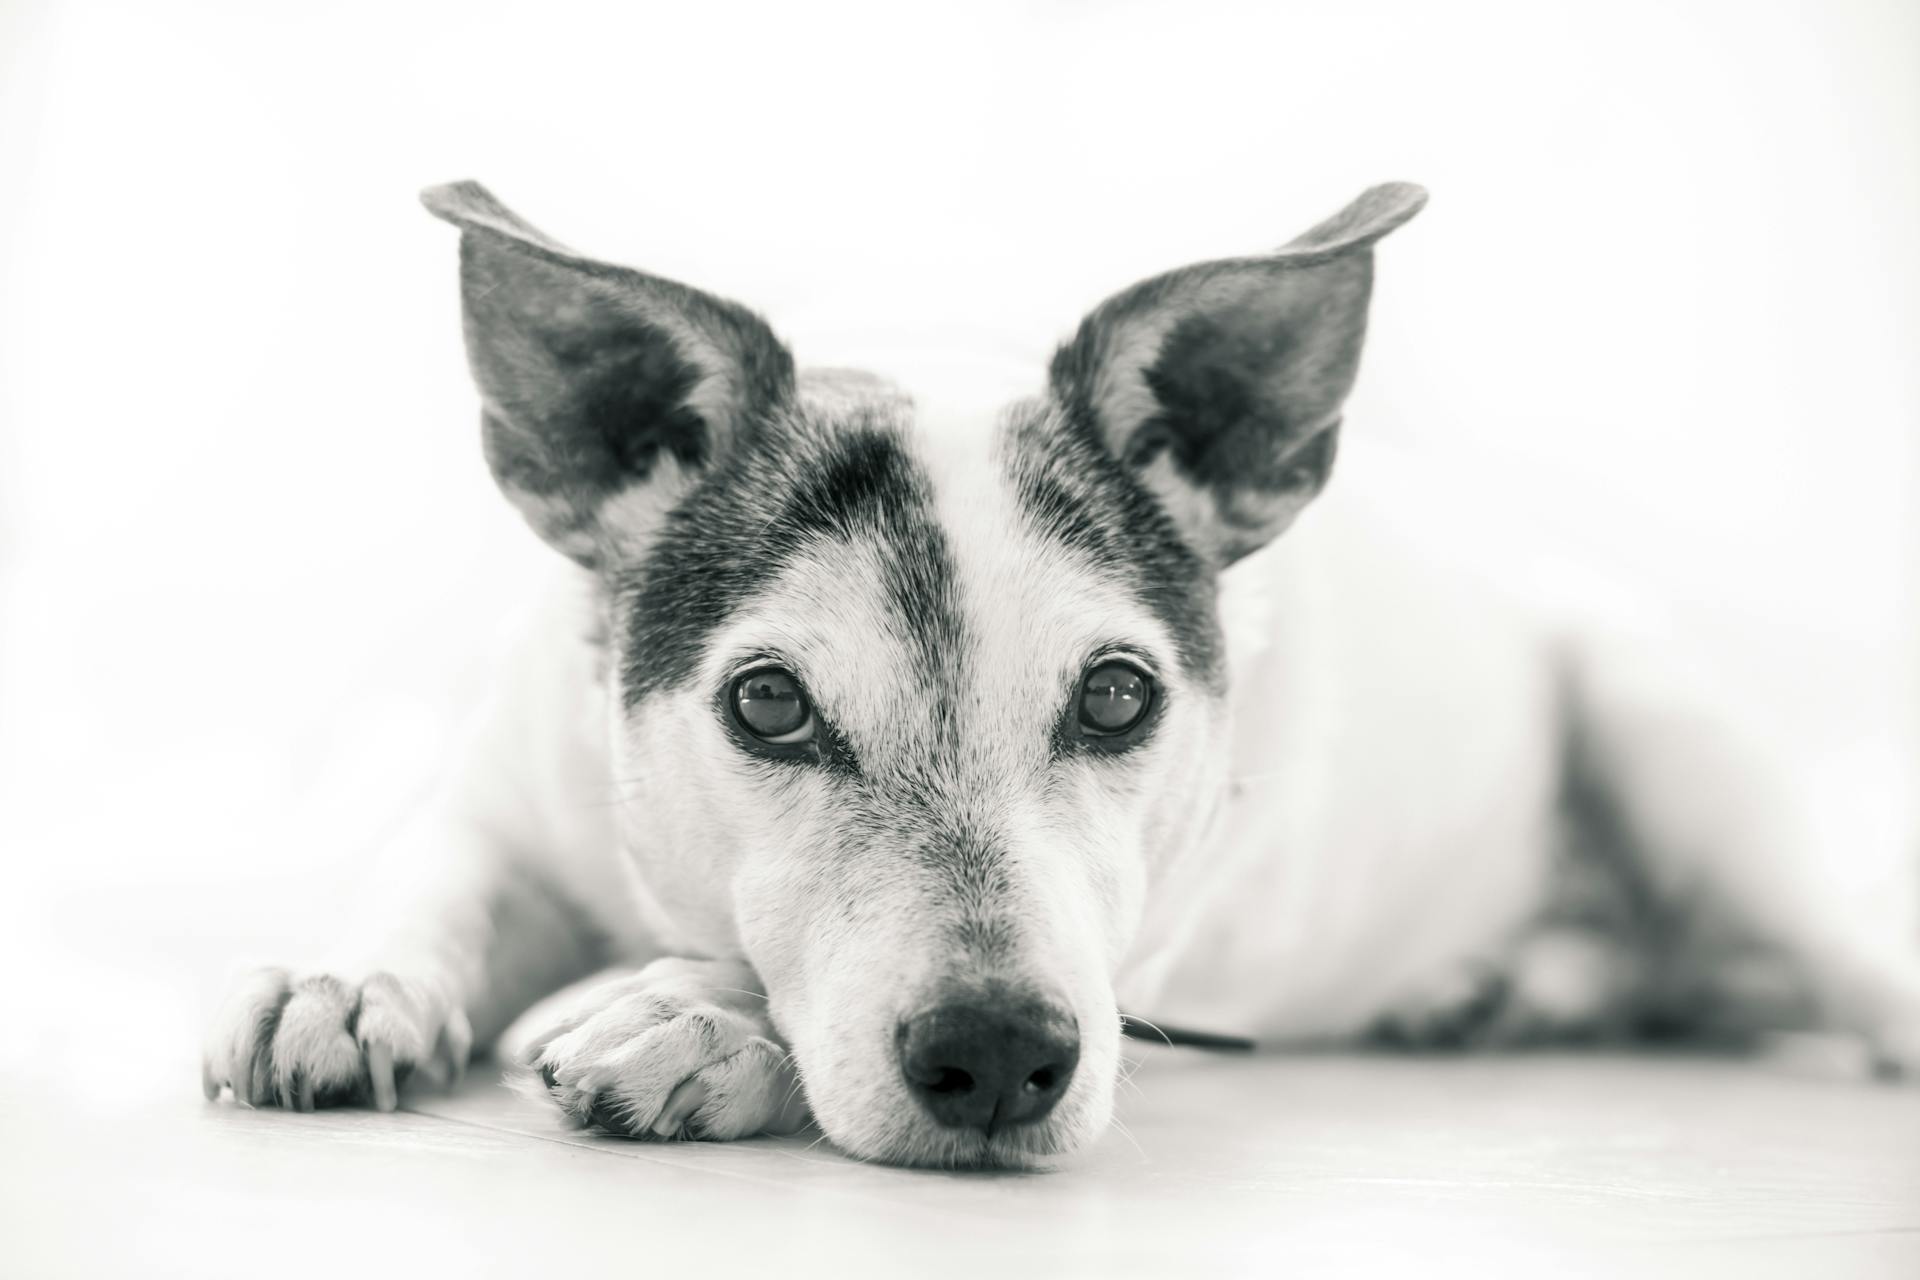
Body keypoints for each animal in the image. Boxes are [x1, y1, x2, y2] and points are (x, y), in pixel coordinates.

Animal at [202, 177, 1912, 1174]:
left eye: (1118, 697)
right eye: (768, 702)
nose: (999, 1061)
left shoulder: (1151, 934)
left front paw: (702, 1025)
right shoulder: (512, 795)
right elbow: (432, 877)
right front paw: (351, 978)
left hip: (1666, 727)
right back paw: (1494, 988)